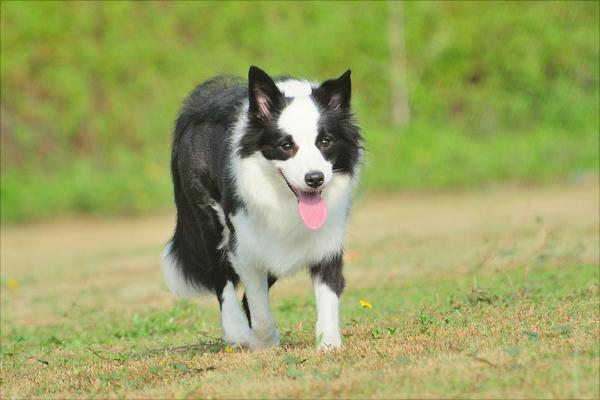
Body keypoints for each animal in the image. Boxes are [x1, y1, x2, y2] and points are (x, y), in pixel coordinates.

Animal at [162, 65, 364, 350]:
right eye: (286, 146)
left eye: (325, 142)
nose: (315, 178)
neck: (284, 201)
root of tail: (196, 104)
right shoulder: (245, 243)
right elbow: (258, 304)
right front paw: (264, 342)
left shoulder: (327, 239)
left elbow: (328, 293)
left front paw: (329, 344)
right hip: (208, 218)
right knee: (221, 277)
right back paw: (236, 331)